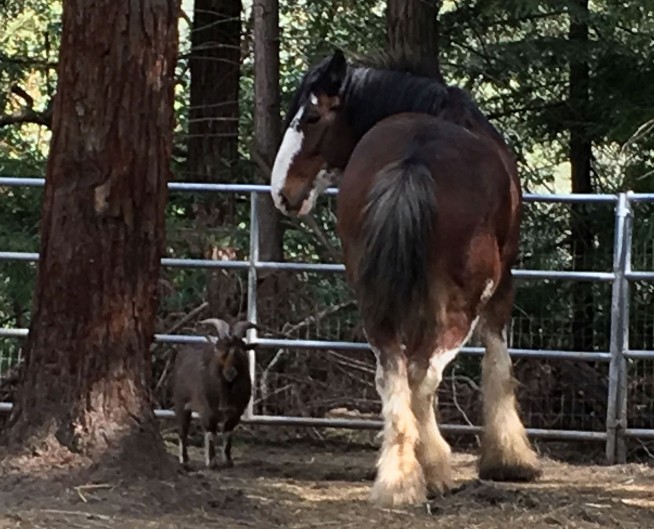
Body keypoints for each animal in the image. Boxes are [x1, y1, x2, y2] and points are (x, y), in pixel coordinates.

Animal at [172, 318, 256, 469]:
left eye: (240, 351)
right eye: (220, 349)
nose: (230, 373)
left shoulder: (236, 412)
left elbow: (227, 432)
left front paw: (228, 461)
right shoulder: (207, 411)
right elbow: (210, 432)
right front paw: (211, 462)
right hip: (180, 402)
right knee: (183, 430)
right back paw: (184, 460)